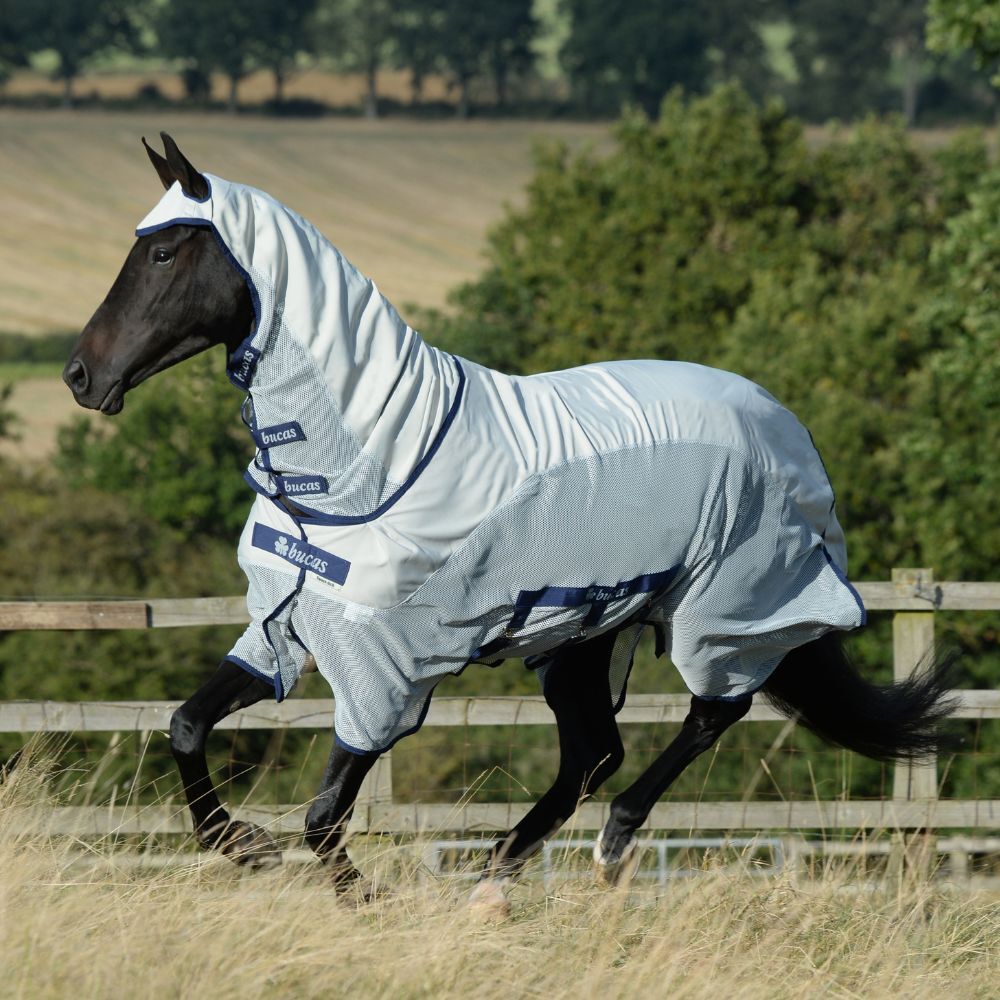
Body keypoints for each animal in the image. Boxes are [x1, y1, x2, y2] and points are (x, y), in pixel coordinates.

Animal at [64, 134, 953, 904]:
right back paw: (496, 874)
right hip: (585, 634)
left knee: (712, 711)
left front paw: (361, 898)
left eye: (164, 253)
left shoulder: (385, 669)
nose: (79, 374)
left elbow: (320, 817)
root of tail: (788, 428)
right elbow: (185, 725)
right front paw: (239, 844)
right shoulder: (285, 628)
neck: (365, 468)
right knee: (594, 754)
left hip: (720, 607)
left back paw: (608, 845)